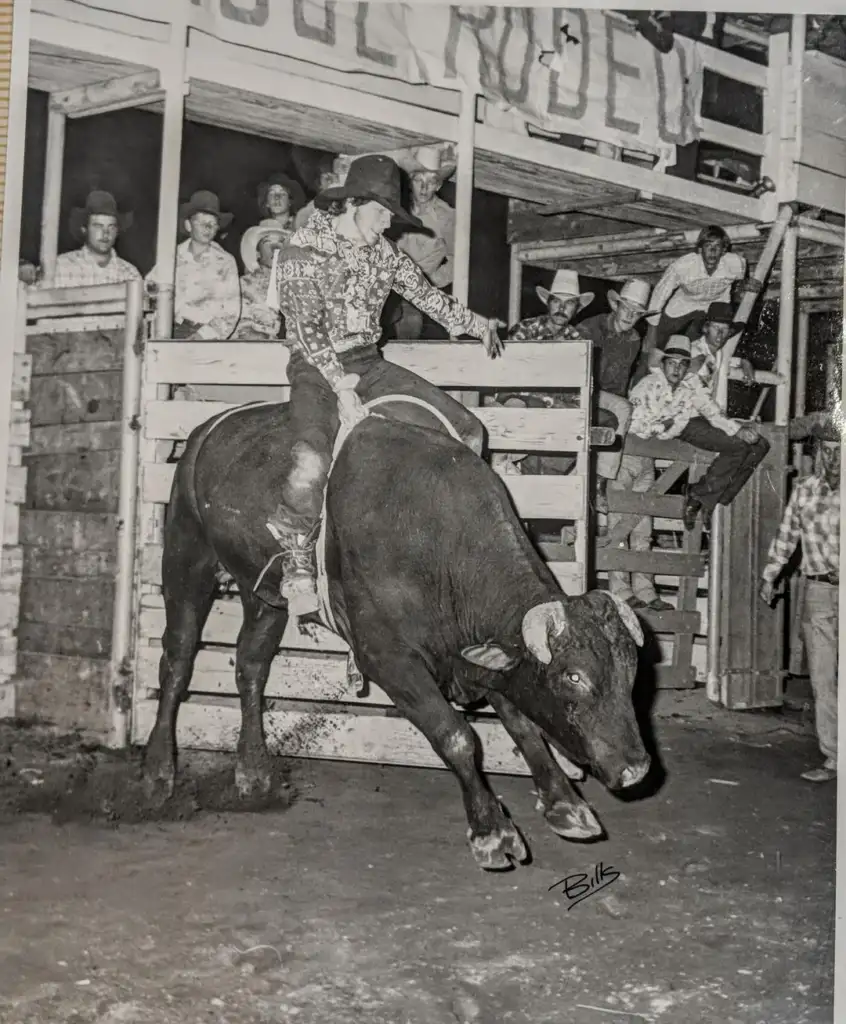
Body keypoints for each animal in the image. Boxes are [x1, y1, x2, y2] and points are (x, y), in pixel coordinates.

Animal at [141, 393, 651, 872]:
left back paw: (252, 772)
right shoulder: (387, 657)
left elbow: (523, 724)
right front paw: (492, 832)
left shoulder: (477, 653)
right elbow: (457, 736)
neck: (437, 543)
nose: (636, 768)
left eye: (630, 673)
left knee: (250, 666)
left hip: (260, 591)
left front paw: (565, 804)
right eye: (574, 677)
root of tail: (209, 428)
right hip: (187, 553)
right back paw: (158, 771)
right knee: (177, 661)